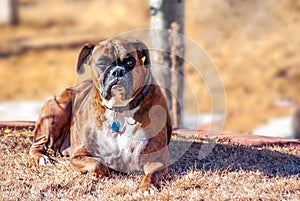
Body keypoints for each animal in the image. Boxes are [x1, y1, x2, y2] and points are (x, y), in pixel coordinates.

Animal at [30, 39, 172, 192]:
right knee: (37, 145)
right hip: (58, 111)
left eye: (130, 62)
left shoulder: (157, 160)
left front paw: (147, 187)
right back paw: (42, 158)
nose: (117, 71)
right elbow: (99, 164)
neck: (119, 110)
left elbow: (151, 174)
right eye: (102, 63)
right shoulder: (78, 155)